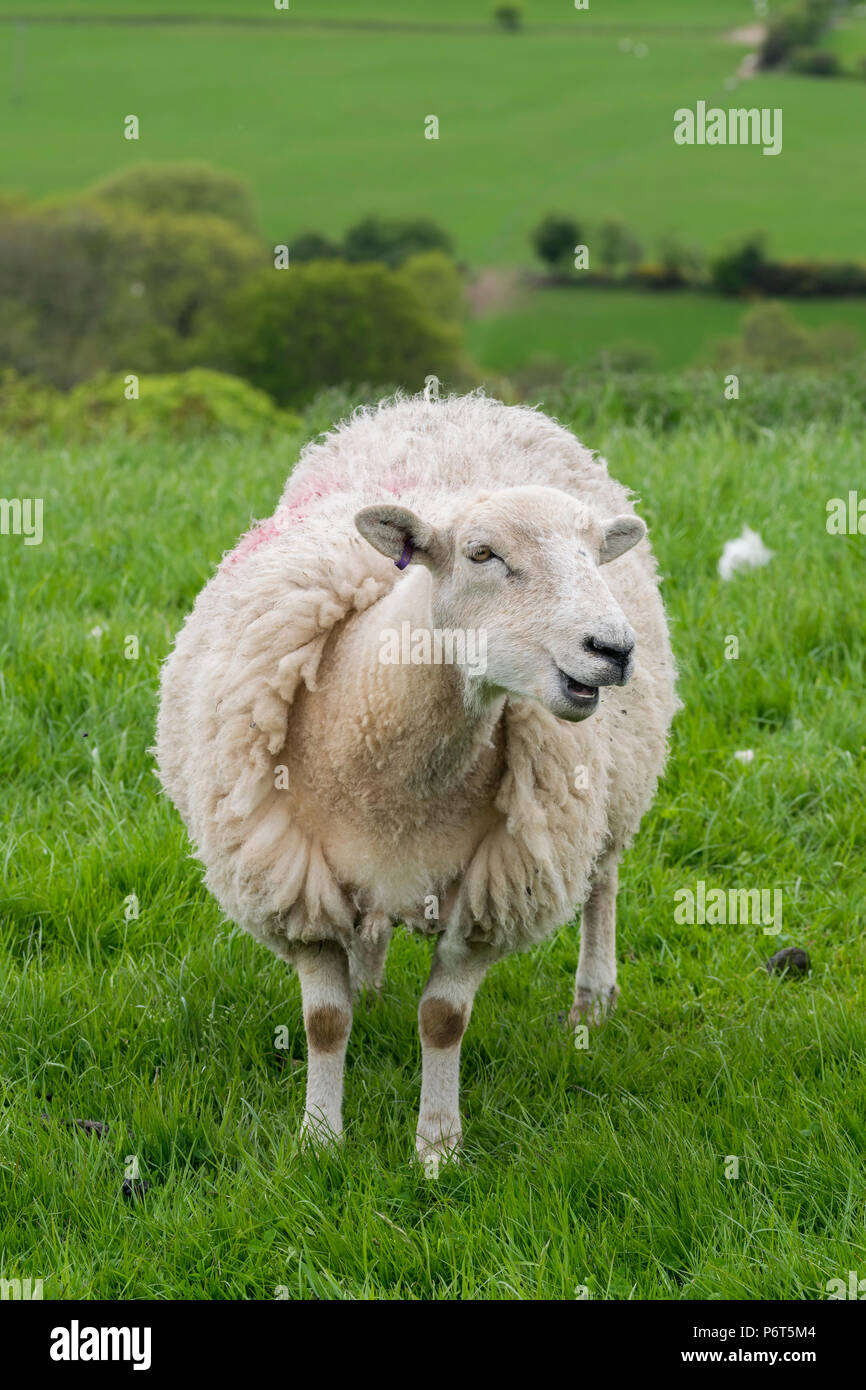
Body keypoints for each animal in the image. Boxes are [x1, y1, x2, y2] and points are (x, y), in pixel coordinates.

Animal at [155, 391, 679, 1167]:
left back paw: (592, 998)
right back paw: (370, 987)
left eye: (593, 556)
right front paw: (319, 1142)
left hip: (614, 794)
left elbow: (442, 1020)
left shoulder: (487, 896)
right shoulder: (296, 887)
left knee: (602, 883)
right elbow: (325, 1022)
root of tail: (454, 402)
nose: (612, 650)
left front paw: (436, 1150)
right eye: (482, 553)